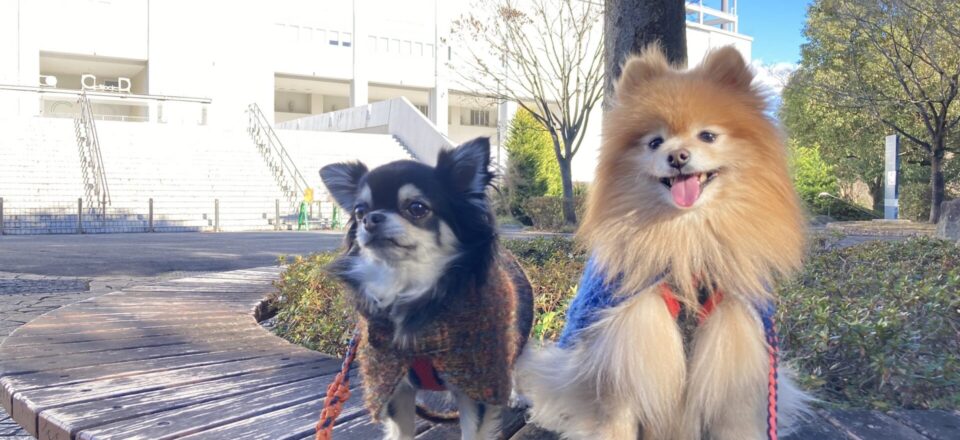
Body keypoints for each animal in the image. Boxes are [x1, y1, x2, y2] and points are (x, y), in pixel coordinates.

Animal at [319, 137, 533, 440]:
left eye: (417, 208)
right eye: (360, 211)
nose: (371, 219)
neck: (409, 286)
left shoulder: (476, 383)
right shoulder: (394, 383)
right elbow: (401, 433)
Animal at [516, 46, 809, 439]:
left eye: (707, 136)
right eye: (654, 142)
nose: (678, 156)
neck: (685, 238)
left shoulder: (736, 335)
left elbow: (734, 416)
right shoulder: (628, 338)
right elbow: (619, 413)